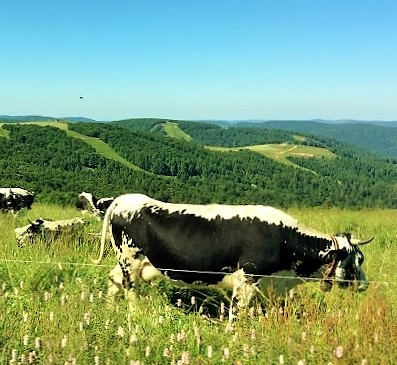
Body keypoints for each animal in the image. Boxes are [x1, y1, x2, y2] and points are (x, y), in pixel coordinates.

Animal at [93, 193, 372, 312]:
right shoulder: (246, 278)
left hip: (130, 261)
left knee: (112, 280)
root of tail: (124, 199)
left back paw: (110, 309)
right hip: (130, 258)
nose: (364, 285)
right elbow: (237, 312)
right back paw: (134, 315)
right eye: (356, 260)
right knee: (129, 289)